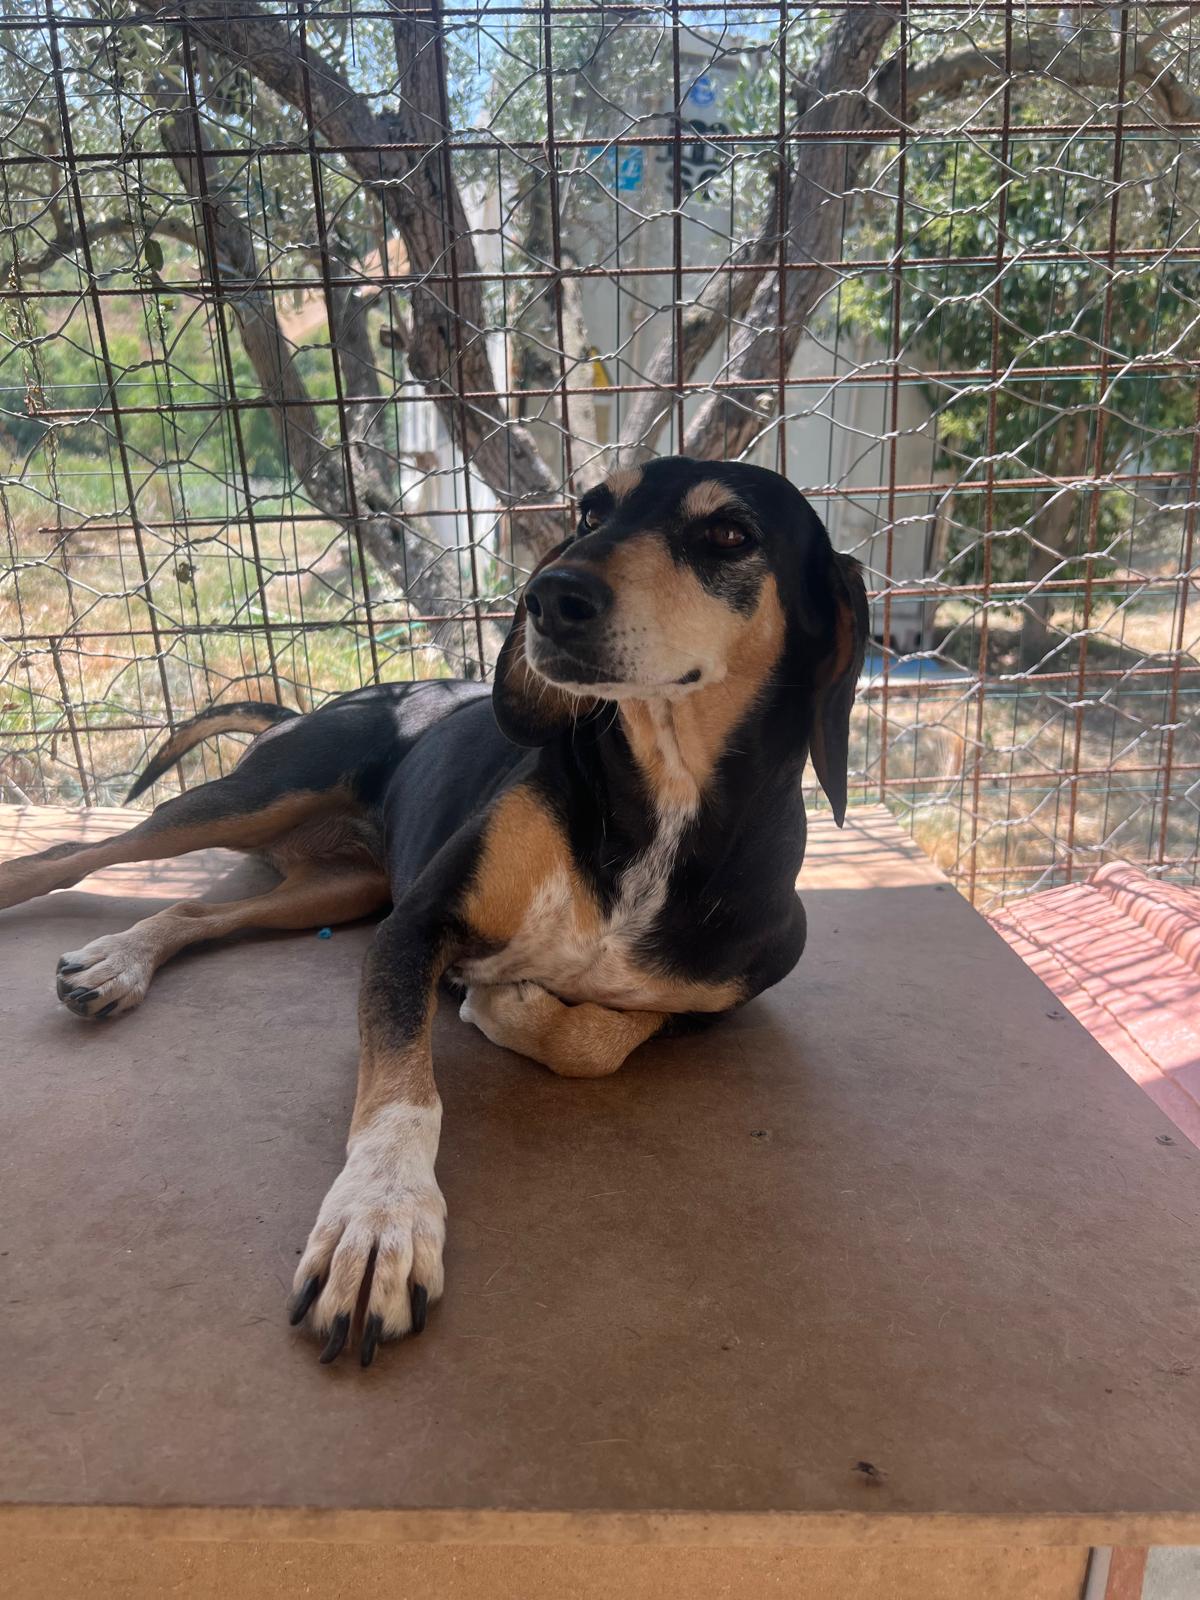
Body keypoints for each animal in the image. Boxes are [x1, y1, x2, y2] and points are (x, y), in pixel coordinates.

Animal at [0, 457, 867, 1367]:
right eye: (591, 512)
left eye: (730, 533)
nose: (548, 596)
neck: (662, 804)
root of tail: (319, 704)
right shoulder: (412, 928)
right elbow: (404, 1099)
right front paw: (380, 1221)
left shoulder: (710, 1002)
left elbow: (597, 1039)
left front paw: (510, 1001)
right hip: (257, 799)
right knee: (70, 856)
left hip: (338, 890)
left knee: (201, 914)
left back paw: (121, 961)